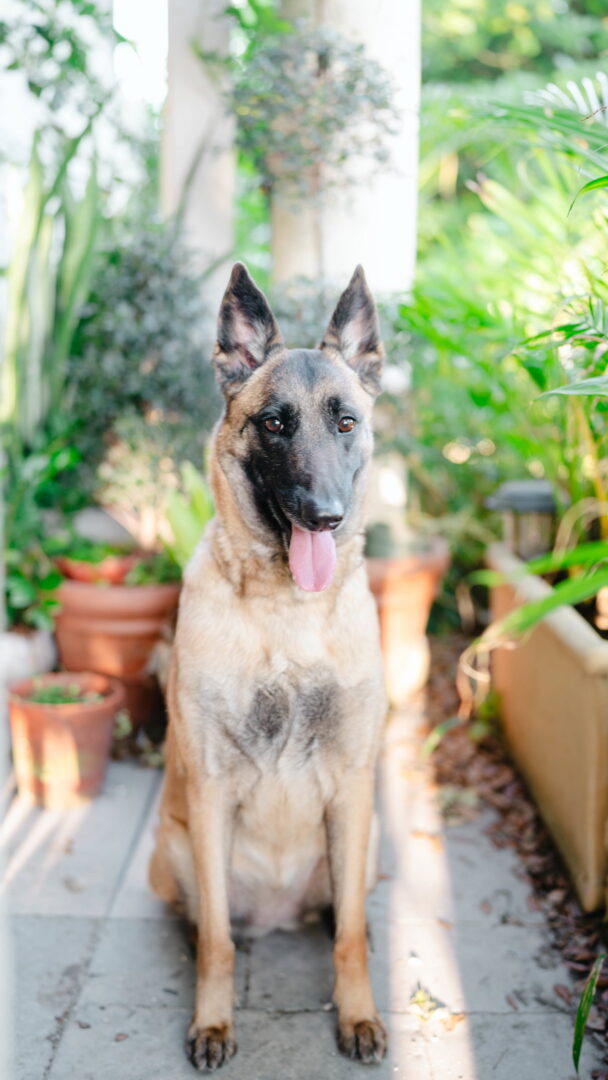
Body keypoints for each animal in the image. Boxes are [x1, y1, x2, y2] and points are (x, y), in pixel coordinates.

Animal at [149, 262, 388, 1070]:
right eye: (275, 423)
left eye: (345, 422)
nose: (325, 515)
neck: (287, 614)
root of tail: (281, 912)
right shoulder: (211, 787)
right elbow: (219, 942)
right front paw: (213, 1021)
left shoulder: (353, 784)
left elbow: (350, 936)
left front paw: (357, 1013)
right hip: (176, 846)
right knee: (205, 921)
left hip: (367, 843)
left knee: (343, 914)